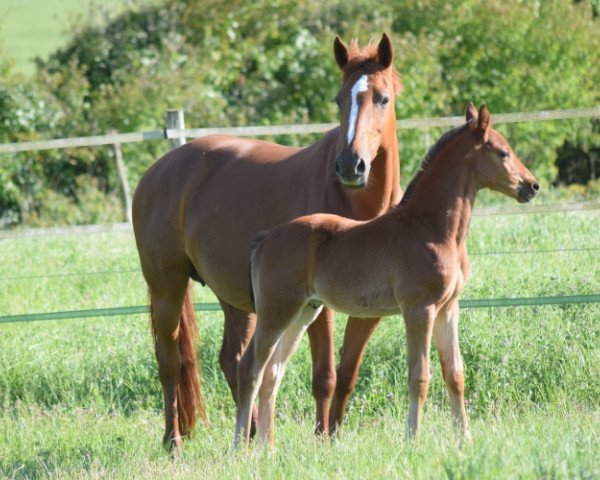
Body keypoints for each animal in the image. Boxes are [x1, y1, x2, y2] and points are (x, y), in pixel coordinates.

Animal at [238, 104, 540, 446]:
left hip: (303, 312)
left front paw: (465, 438)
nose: (532, 186)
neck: (432, 229)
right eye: (503, 152)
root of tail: (265, 238)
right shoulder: (420, 309)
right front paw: (413, 438)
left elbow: (455, 373)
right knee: (250, 371)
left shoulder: (449, 309)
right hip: (275, 312)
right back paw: (240, 446)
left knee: (272, 373)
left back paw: (268, 448)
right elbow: (419, 376)